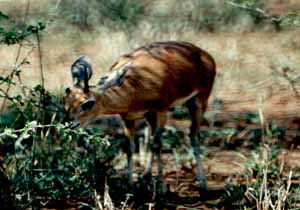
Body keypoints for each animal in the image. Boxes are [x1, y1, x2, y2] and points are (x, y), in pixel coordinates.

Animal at [63, 41, 216, 194]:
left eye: (88, 103)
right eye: (65, 99)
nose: (69, 124)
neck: (134, 89)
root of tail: (203, 53)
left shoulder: (161, 111)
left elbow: (157, 144)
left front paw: (161, 186)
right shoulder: (128, 118)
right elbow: (130, 148)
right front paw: (130, 184)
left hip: (199, 101)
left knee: (193, 135)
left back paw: (202, 183)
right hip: (151, 116)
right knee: (152, 139)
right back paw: (145, 176)